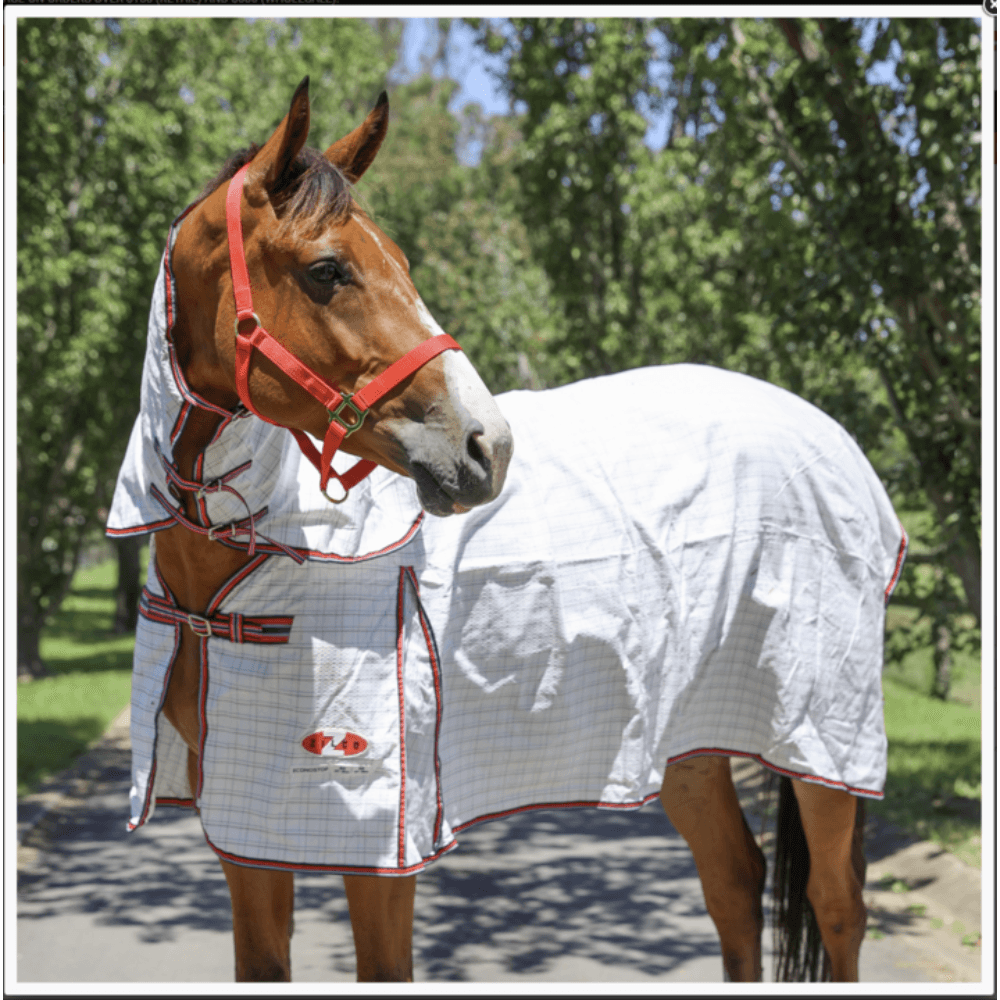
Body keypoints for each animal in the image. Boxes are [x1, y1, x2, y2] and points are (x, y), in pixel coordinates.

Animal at [107, 78, 906, 983]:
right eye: (326, 270)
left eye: (403, 265)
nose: (485, 446)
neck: (249, 571)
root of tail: (827, 436)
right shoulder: (247, 842)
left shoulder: (380, 854)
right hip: (688, 742)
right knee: (734, 885)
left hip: (821, 751)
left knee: (836, 909)